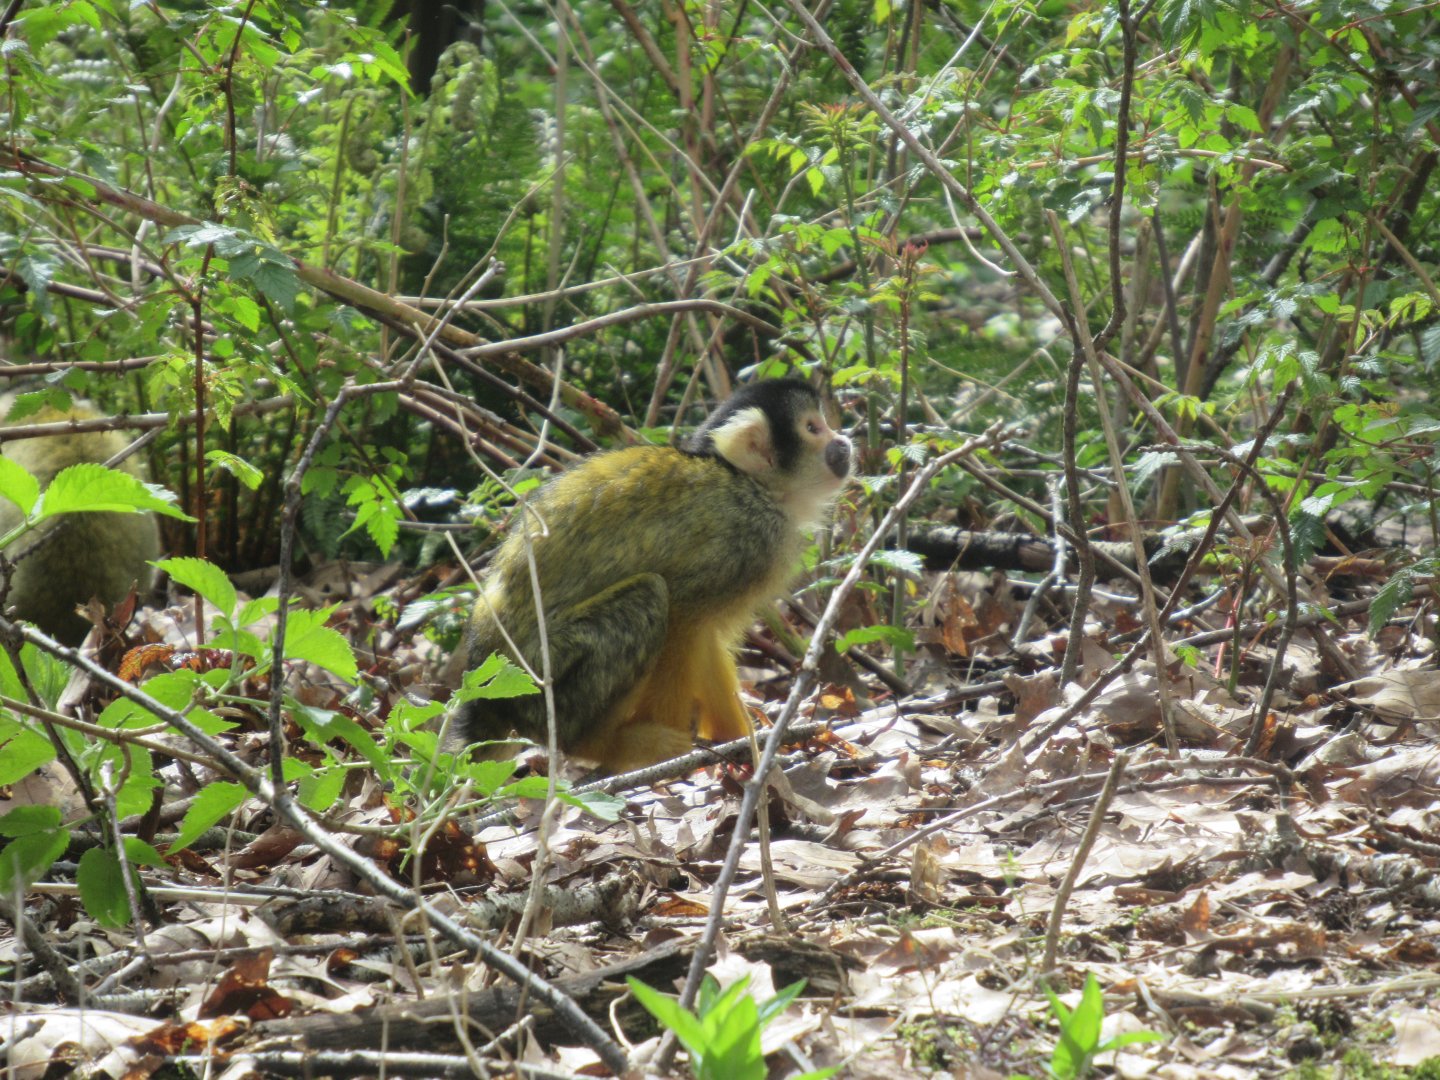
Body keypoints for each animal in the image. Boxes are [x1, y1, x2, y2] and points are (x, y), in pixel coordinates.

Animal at [455, 377, 852, 774]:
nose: (843, 440)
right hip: (537, 677)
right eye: (813, 429)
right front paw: (678, 755)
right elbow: (681, 617)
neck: (750, 485)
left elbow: (704, 637)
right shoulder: (746, 538)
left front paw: (740, 741)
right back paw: (605, 746)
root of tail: (485, 692)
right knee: (648, 597)